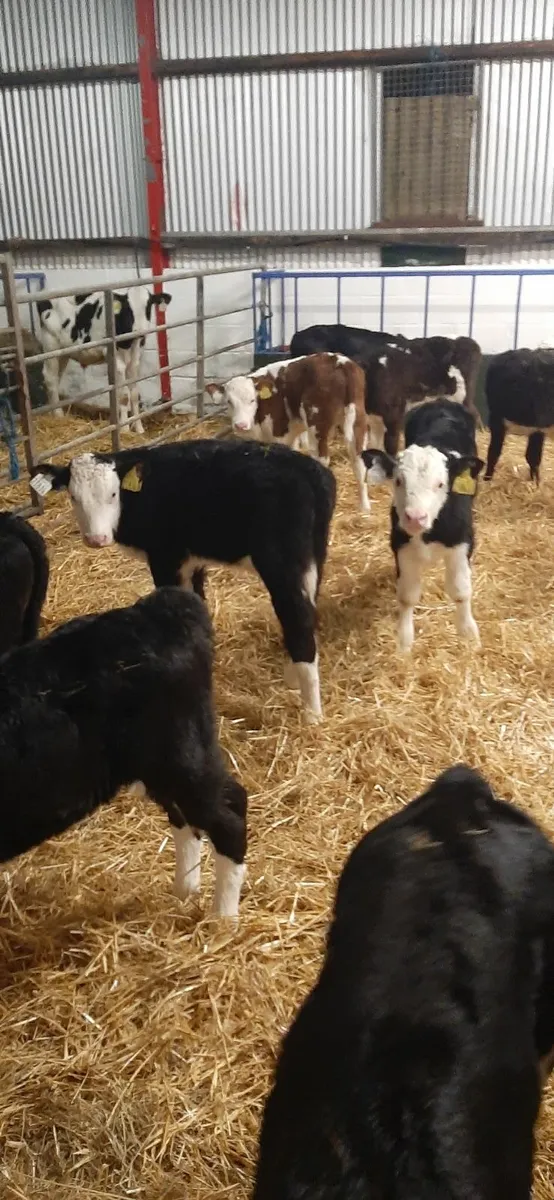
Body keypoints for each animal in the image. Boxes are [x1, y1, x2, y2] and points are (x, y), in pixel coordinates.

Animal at [31, 439, 336, 723]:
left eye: (113, 494)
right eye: (73, 497)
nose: (96, 539)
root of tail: (308, 471)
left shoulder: (165, 557)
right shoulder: (193, 559)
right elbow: (196, 600)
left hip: (281, 563)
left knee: (298, 619)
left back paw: (312, 714)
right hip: (313, 558)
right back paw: (292, 678)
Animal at [36, 286, 172, 434]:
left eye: (148, 305)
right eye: (128, 308)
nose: (139, 331)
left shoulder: (135, 359)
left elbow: (134, 394)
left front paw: (139, 429)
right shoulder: (116, 360)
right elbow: (124, 395)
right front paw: (124, 429)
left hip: (64, 352)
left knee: (56, 379)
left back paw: (52, 412)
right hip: (51, 346)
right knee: (50, 378)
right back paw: (59, 415)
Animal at [207, 353, 370, 512]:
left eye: (252, 400)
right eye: (229, 402)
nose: (240, 425)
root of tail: (340, 361)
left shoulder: (279, 433)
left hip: (317, 424)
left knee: (323, 459)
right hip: (358, 419)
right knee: (359, 460)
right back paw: (364, 508)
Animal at [363, 400, 484, 651]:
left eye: (440, 484)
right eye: (399, 481)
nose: (415, 517)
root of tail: (440, 402)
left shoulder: (463, 541)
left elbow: (461, 591)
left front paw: (468, 634)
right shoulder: (400, 544)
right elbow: (407, 595)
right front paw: (404, 642)